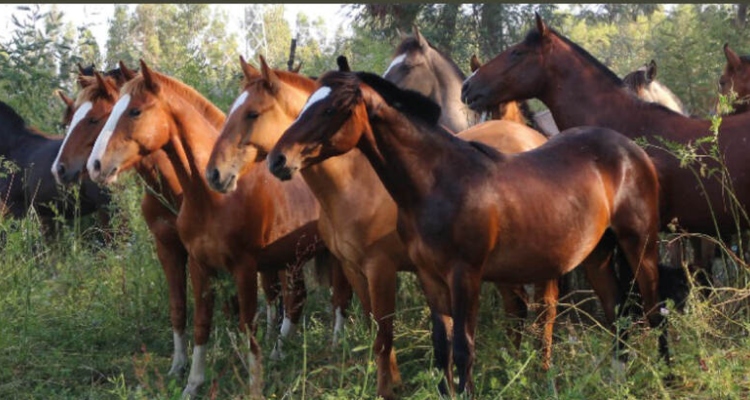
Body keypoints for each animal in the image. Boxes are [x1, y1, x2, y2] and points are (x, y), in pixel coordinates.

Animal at [206, 54, 560, 398]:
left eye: (252, 114)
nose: (214, 173)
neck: (356, 183)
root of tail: (532, 137)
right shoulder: (353, 269)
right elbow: (375, 325)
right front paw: (396, 382)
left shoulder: (381, 268)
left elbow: (384, 333)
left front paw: (385, 390)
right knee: (516, 307)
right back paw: (511, 363)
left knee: (544, 310)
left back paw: (541, 372)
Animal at [268, 71, 672, 396]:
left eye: (332, 108)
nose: (277, 160)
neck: (438, 182)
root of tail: (631, 151)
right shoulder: (430, 277)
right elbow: (441, 345)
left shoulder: (464, 276)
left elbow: (463, 348)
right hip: (597, 255)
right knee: (616, 310)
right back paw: (617, 378)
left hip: (640, 245)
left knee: (655, 309)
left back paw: (664, 376)